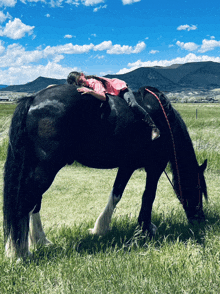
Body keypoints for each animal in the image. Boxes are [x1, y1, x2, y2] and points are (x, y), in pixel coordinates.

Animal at [3, 84, 207, 258]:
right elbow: (144, 195)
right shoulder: (151, 166)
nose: (200, 219)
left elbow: (118, 193)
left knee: (34, 202)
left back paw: (39, 240)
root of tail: (33, 100)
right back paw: (20, 253)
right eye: (199, 189)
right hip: (46, 167)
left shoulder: (129, 165)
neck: (162, 120)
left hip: (38, 167)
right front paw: (145, 228)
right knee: (26, 201)